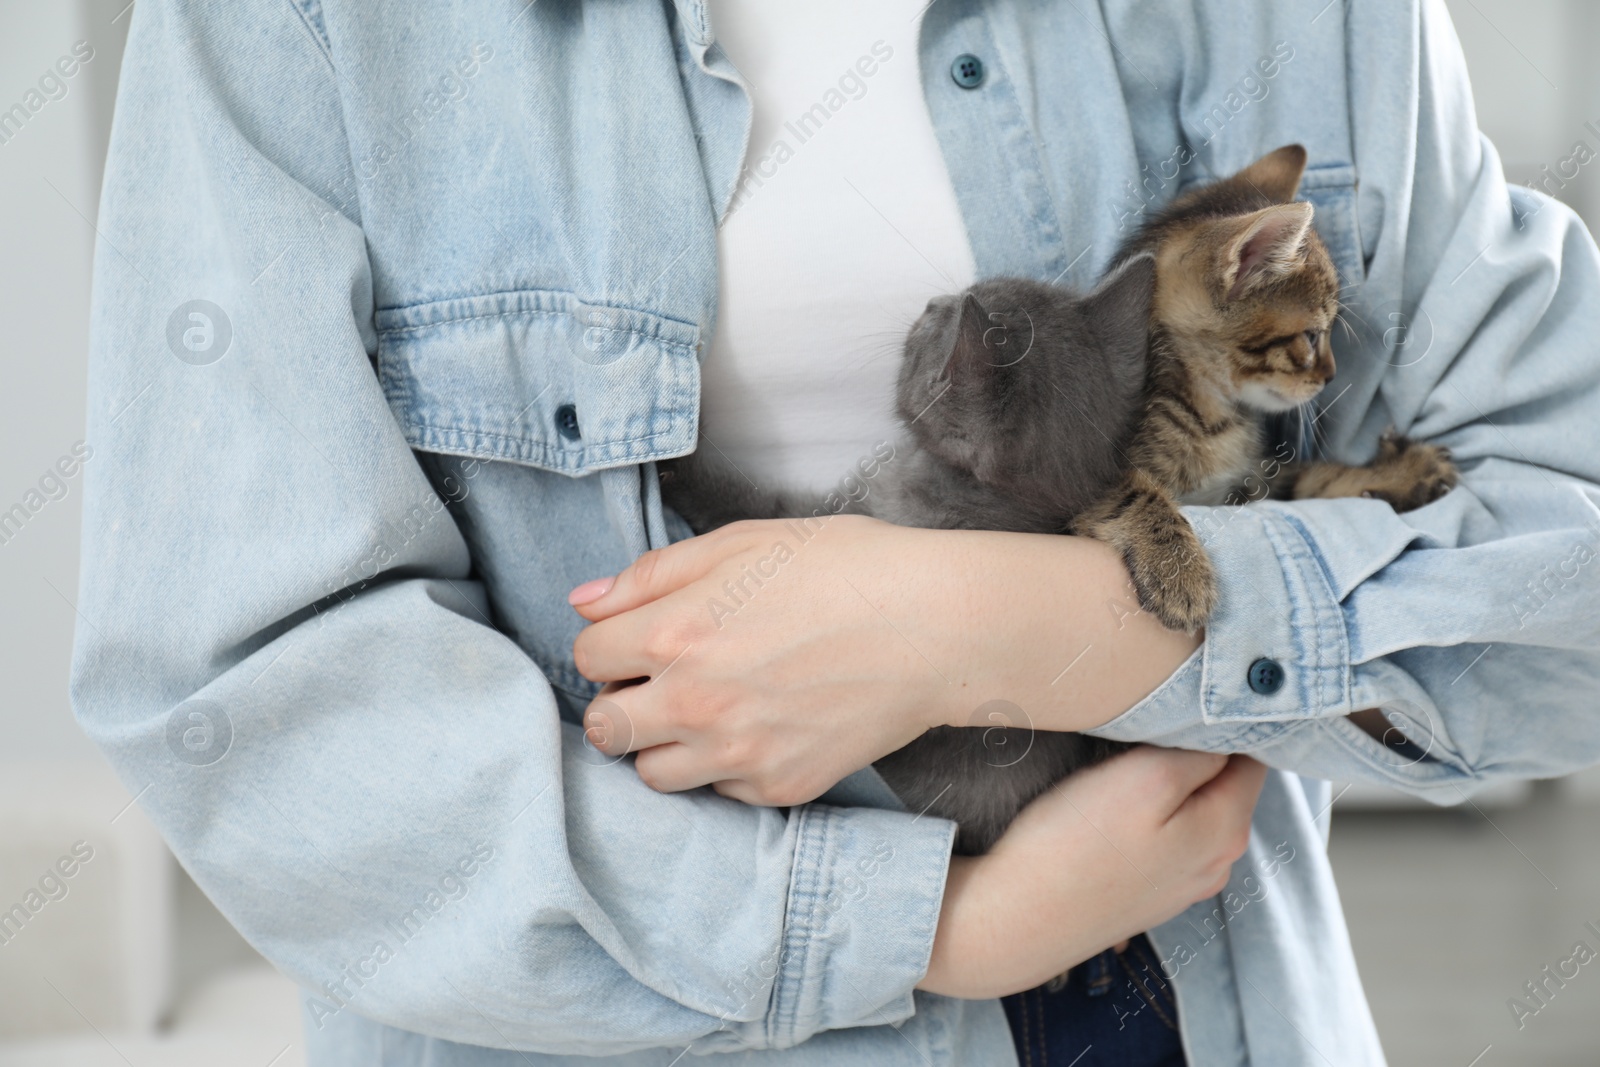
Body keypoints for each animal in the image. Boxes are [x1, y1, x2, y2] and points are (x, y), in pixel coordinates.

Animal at [659, 254, 1152, 857]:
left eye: (938, 323)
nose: (934, 302)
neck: (995, 507)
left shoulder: (836, 518)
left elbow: (750, 509)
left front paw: (678, 461)